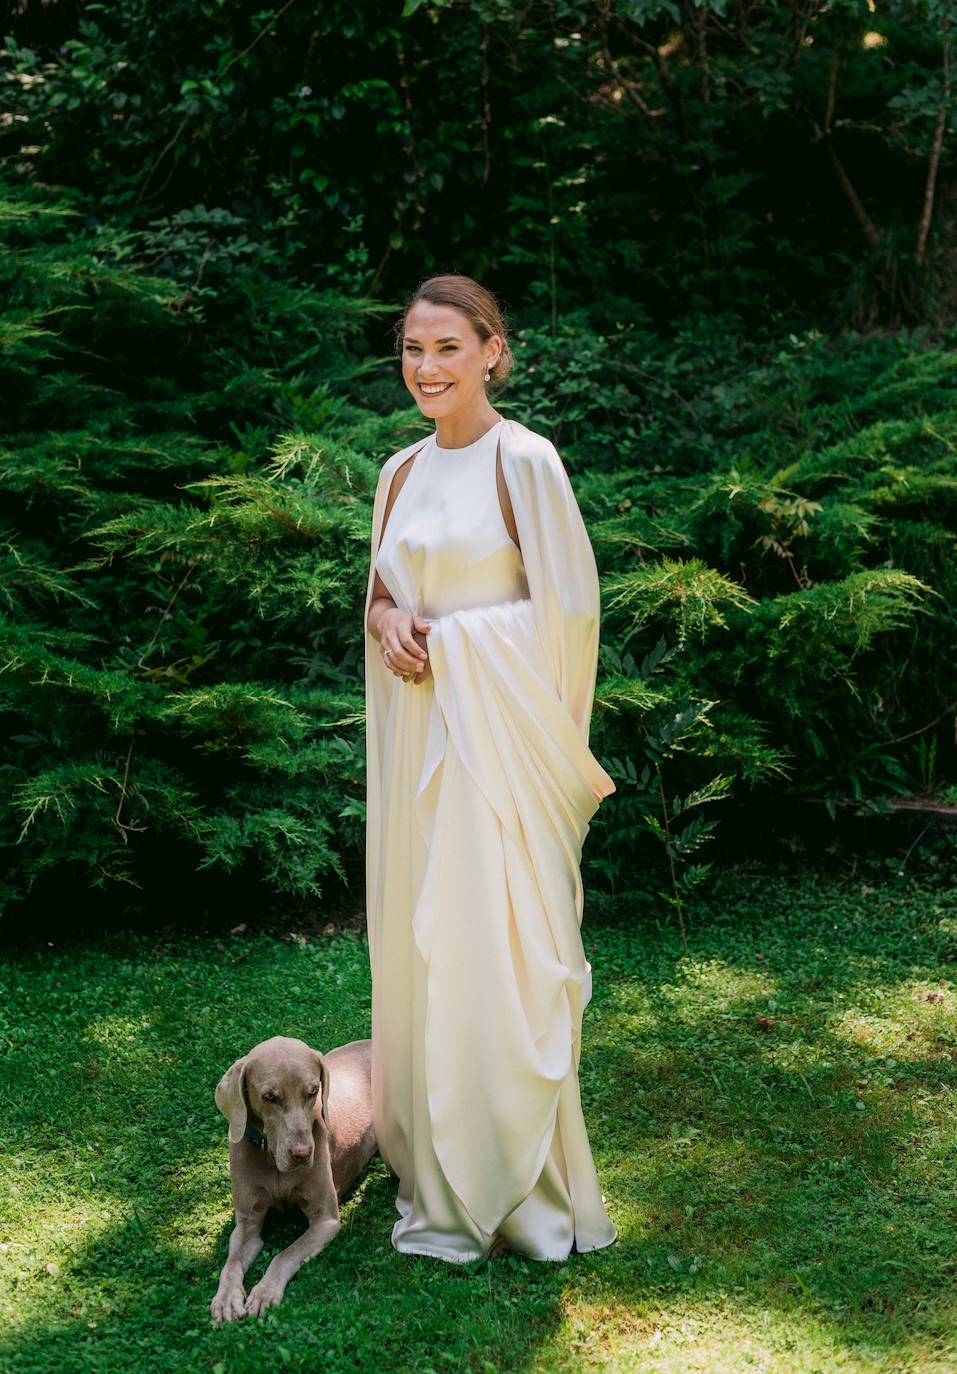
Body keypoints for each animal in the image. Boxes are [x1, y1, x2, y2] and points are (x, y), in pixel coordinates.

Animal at [211, 1033, 376, 1319]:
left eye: (312, 1092)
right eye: (269, 1097)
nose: (302, 1153)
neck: (272, 1161)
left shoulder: (325, 1221)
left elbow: (286, 1254)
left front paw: (264, 1292)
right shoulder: (247, 1223)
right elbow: (232, 1261)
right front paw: (226, 1298)